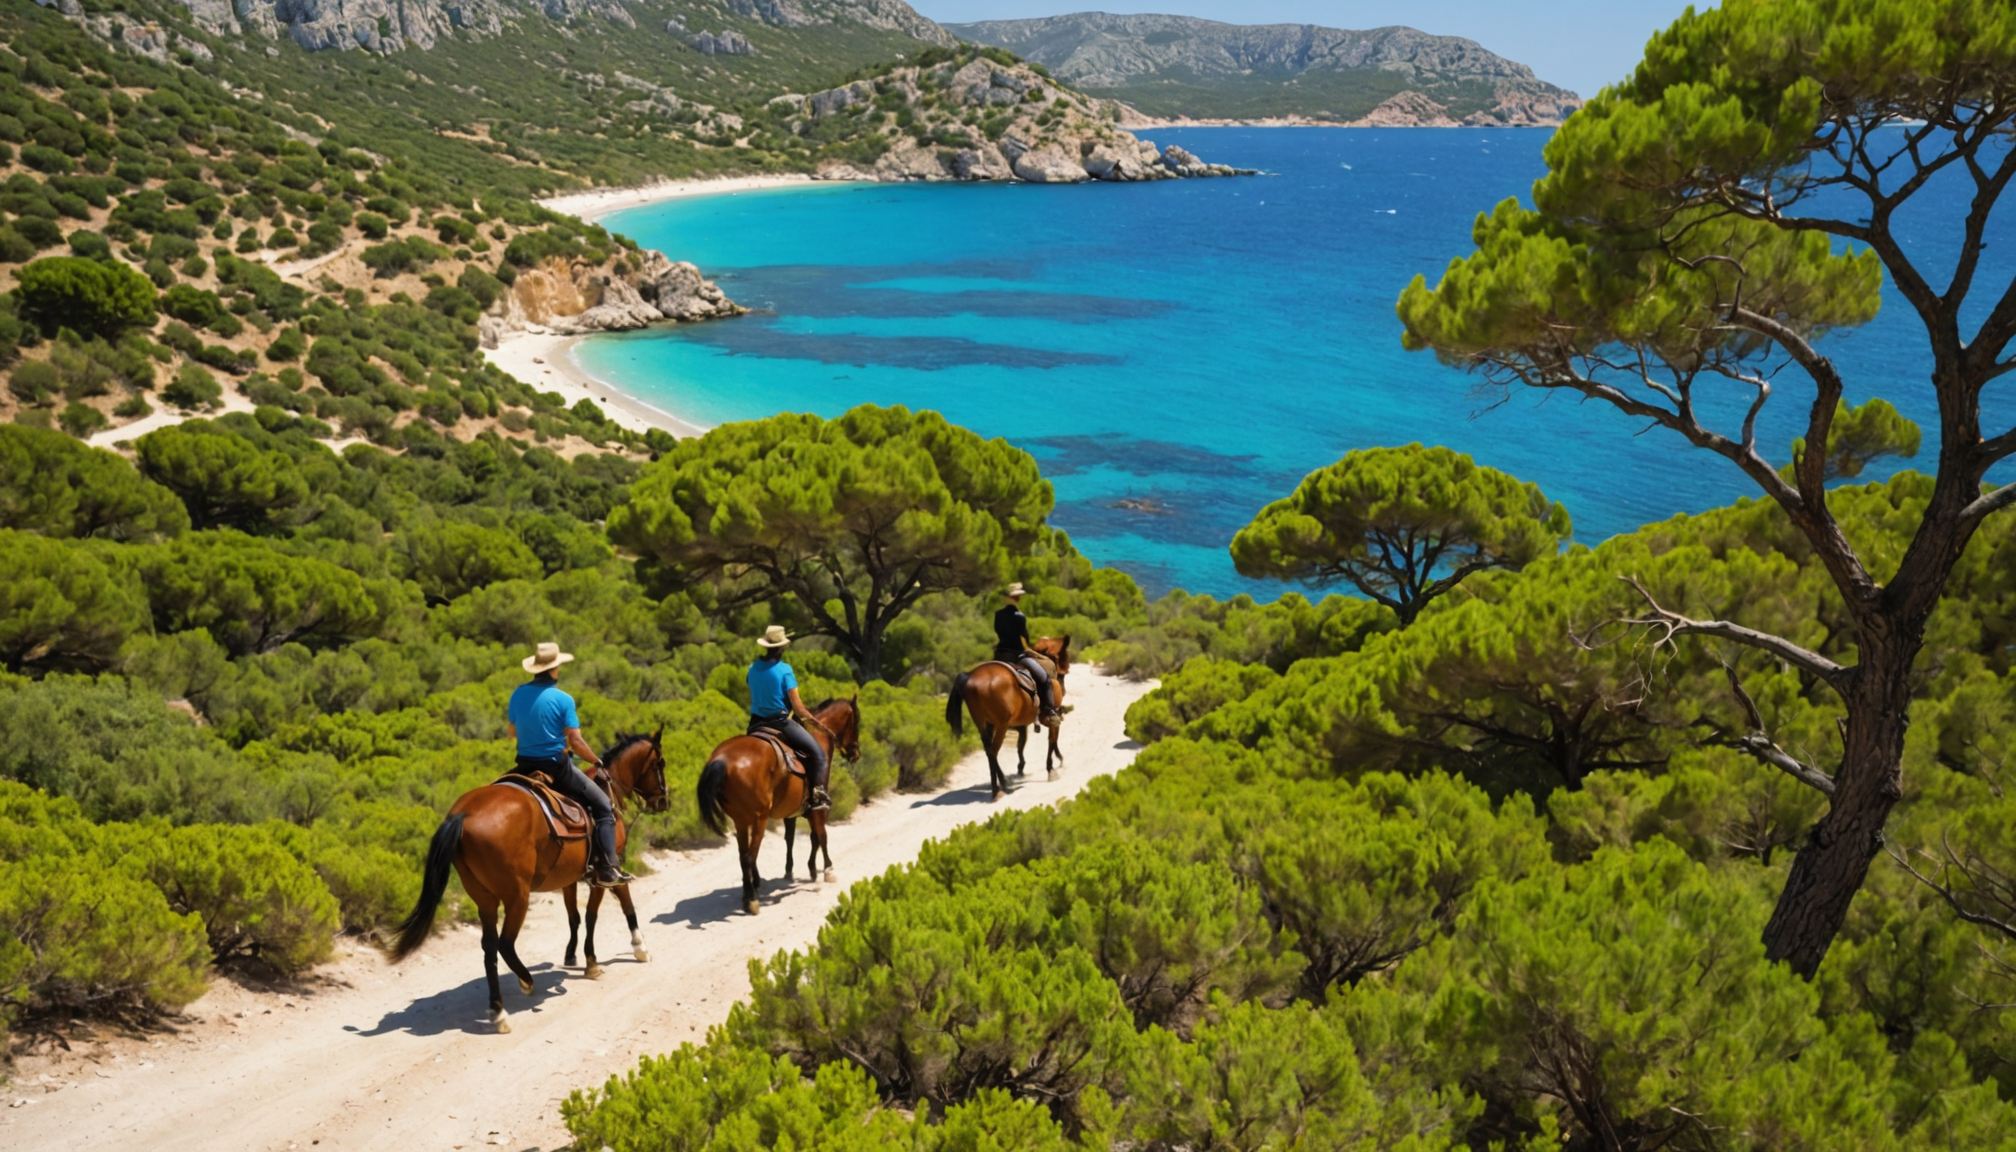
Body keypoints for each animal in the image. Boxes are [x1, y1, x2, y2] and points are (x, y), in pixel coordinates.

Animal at [388, 728, 669, 1033]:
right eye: (661, 763)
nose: (664, 801)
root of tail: (463, 815)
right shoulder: (608, 868)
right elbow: (607, 909)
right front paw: (624, 952)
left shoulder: (570, 877)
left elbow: (574, 916)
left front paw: (571, 955)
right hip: (517, 896)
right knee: (505, 944)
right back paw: (526, 981)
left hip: (484, 898)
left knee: (489, 948)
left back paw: (499, 1011)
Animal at [695, 698, 861, 917]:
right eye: (857, 722)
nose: (856, 754)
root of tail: (722, 759)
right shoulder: (819, 809)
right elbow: (820, 836)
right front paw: (826, 869)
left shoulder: (791, 812)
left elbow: (791, 839)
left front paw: (793, 870)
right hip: (760, 818)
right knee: (750, 856)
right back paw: (752, 899)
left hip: (741, 820)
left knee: (744, 855)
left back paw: (751, 889)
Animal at [945, 636, 1071, 801]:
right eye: (1063, 673)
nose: (1063, 691)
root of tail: (969, 679)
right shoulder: (1053, 718)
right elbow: (1051, 740)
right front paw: (1051, 769)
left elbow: (1024, 746)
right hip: (1001, 725)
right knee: (993, 751)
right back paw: (999, 788)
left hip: (984, 724)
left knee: (989, 752)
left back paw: (1001, 785)